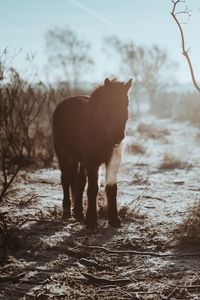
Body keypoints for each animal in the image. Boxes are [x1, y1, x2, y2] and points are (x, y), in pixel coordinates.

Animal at [52, 77, 132, 227]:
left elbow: (111, 188)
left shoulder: (112, 162)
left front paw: (114, 219)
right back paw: (67, 210)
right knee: (65, 179)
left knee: (79, 181)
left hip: (79, 160)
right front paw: (90, 220)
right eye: (108, 103)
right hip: (63, 155)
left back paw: (78, 212)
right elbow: (93, 188)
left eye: (126, 103)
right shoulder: (92, 162)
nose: (118, 136)